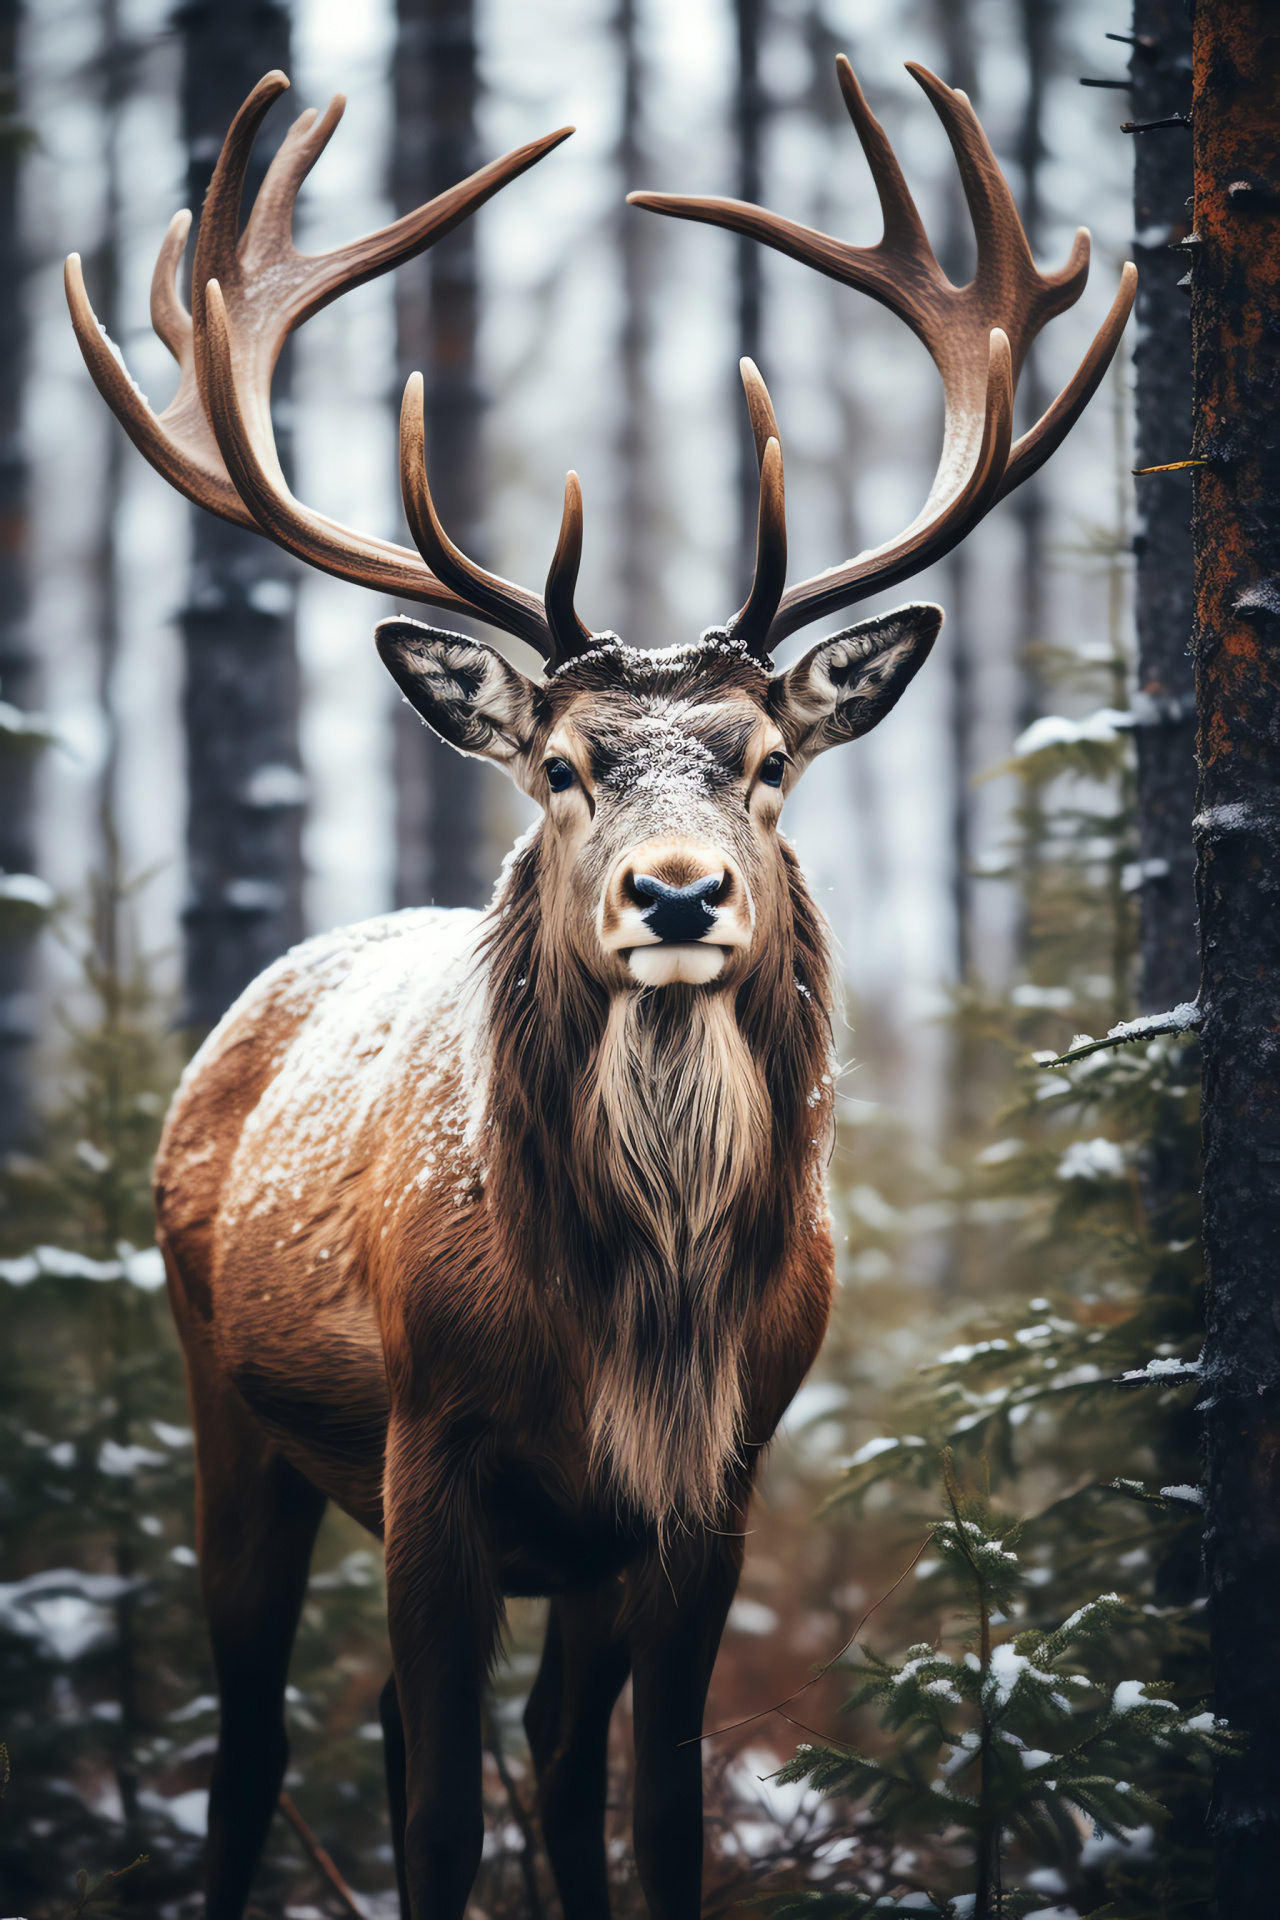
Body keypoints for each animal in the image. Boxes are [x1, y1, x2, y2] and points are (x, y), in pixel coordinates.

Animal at [67, 52, 1128, 1920]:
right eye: (561, 765)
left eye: (766, 758)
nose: (680, 890)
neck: (635, 1316)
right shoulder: (432, 1450)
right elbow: (433, 1820)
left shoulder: (712, 1483)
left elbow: (651, 1805)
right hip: (223, 1397)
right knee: (258, 1745)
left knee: (537, 1757)